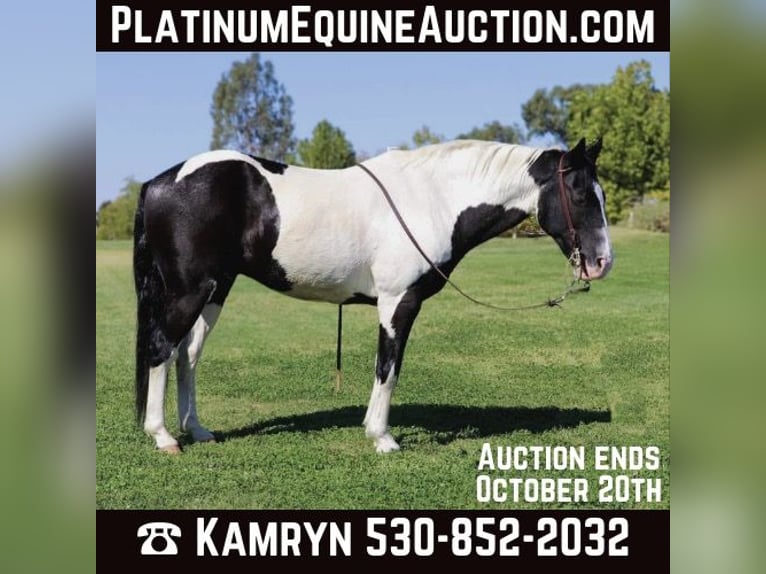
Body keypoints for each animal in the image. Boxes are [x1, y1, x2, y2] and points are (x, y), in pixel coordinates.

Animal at [133, 138, 612, 454]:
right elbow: (388, 367)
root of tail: (158, 182)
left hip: (216, 288)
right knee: (161, 348)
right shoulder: (399, 302)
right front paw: (382, 438)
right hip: (190, 290)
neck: (433, 199)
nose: (602, 262)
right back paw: (163, 437)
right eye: (581, 194)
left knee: (187, 354)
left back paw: (197, 430)